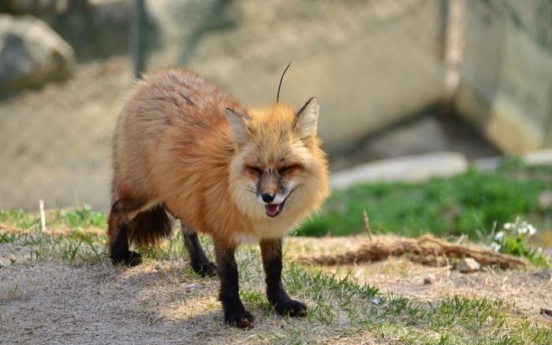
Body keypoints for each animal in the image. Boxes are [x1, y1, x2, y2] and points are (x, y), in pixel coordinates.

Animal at [109, 67, 328, 328]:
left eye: (286, 168)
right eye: (255, 169)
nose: (268, 197)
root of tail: (154, 76)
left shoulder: (271, 233)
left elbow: (275, 270)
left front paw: (281, 303)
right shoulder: (223, 232)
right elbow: (231, 275)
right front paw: (234, 312)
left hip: (183, 193)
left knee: (187, 228)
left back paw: (200, 264)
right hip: (143, 194)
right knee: (116, 211)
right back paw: (118, 255)